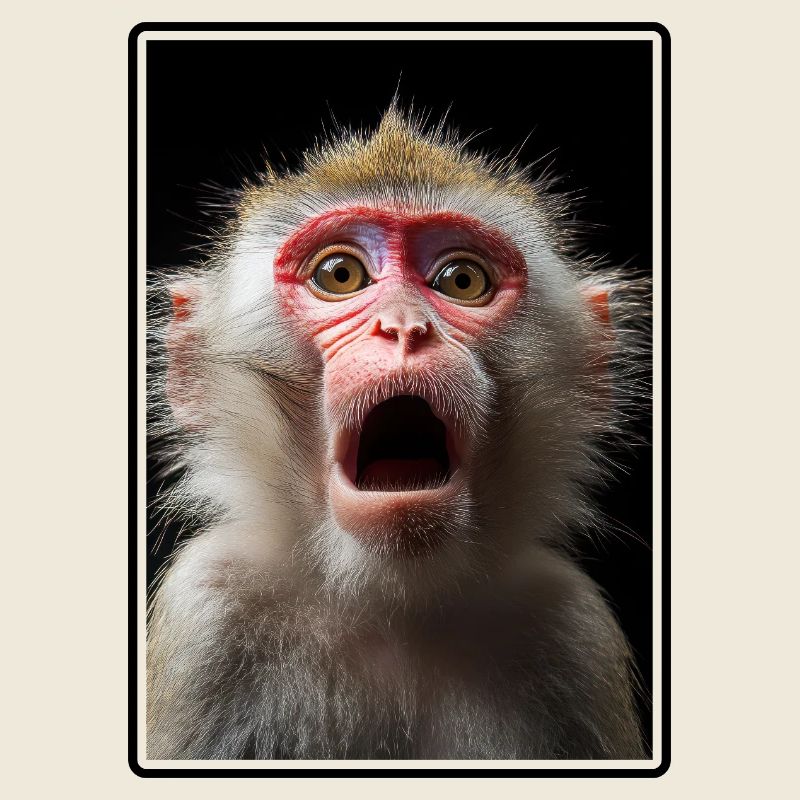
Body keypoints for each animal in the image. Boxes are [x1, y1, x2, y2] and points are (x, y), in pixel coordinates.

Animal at [146, 105, 651, 761]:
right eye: (340, 274)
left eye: (461, 280)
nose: (405, 327)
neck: (393, 603)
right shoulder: (208, 611)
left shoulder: (572, 630)